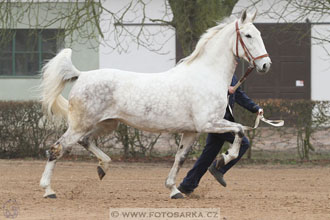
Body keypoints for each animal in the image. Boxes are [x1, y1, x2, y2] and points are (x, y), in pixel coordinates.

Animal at [39, 9, 270, 199]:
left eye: (259, 33)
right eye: (248, 35)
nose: (266, 65)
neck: (206, 75)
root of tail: (81, 75)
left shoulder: (191, 131)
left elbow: (180, 158)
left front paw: (174, 190)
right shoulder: (209, 124)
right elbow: (240, 130)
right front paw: (224, 158)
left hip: (107, 123)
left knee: (85, 141)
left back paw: (103, 167)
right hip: (80, 125)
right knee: (56, 149)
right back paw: (48, 190)